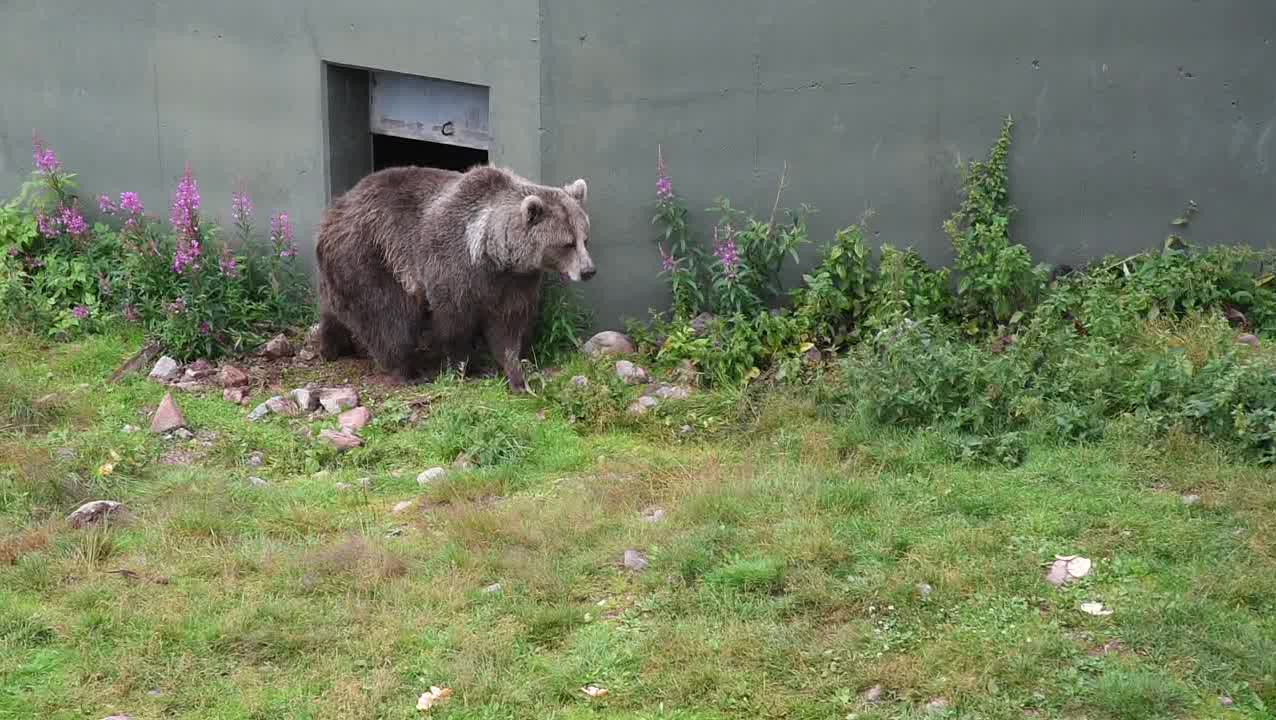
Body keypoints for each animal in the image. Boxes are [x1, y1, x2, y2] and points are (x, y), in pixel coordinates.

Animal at [319, 162, 597, 390]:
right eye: (567, 243)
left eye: (584, 238)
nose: (588, 271)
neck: (491, 256)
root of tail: (336, 207)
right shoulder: (453, 268)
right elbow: (454, 324)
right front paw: (464, 366)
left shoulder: (516, 282)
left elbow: (509, 327)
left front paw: (516, 373)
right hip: (371, 256)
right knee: (389, 316)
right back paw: (409, 371)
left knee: (336, 308)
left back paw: (332, 345)